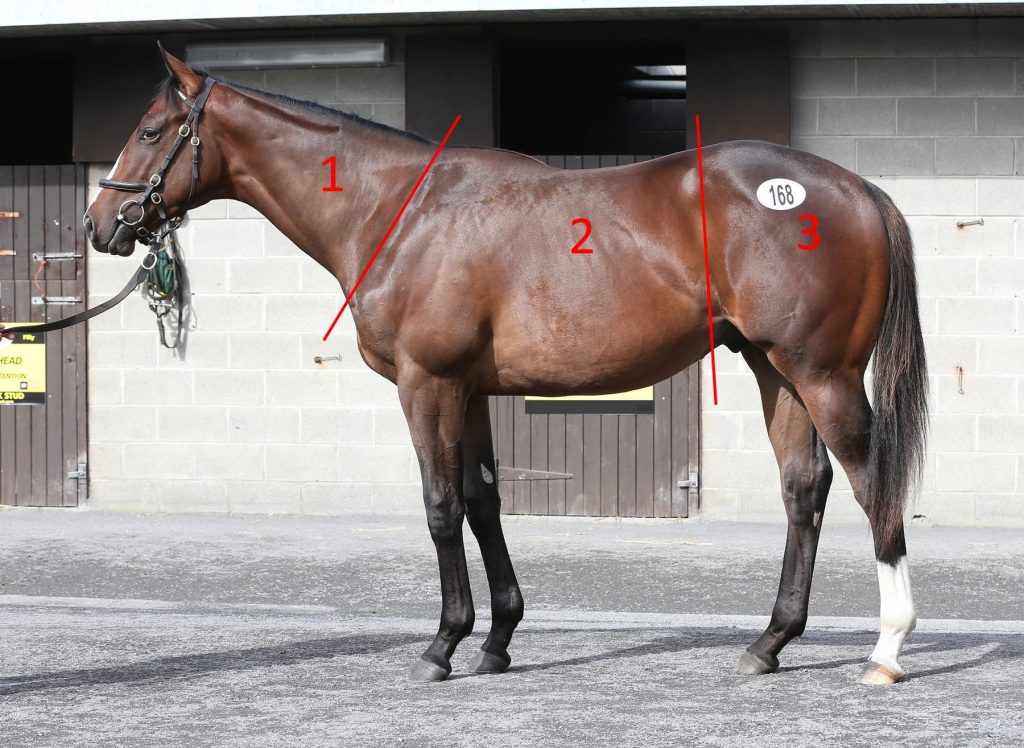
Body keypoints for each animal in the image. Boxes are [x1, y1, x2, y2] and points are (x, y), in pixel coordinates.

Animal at [81, 46, 928, 685]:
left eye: (151, 130)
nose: (99, 224)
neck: (401, 211)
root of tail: (858, 187)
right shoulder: (473, 391)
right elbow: (483, 501)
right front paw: (495, 640)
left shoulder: (427, 384)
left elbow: (438, 507)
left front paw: (441, 645)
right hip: (775, 370)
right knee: (803, 489)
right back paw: (768, 643)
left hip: (821, 375)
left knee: (872, 485)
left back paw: (886, 649)